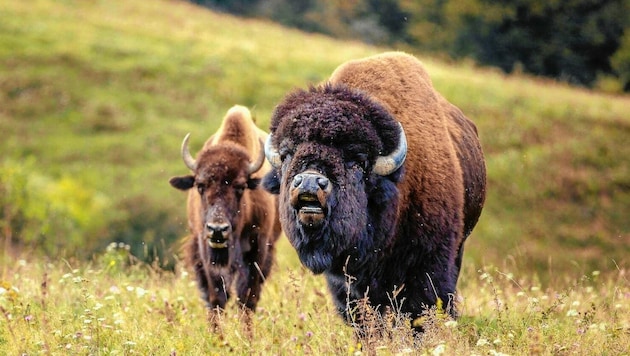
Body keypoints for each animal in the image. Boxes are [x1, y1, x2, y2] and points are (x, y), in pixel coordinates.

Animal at [172, 105, 282, 320]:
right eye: (200, 185)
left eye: (240, 187)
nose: (217, 229)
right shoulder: (206, 251)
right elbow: (216, 298)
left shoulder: (258, 250)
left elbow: (247, 299)